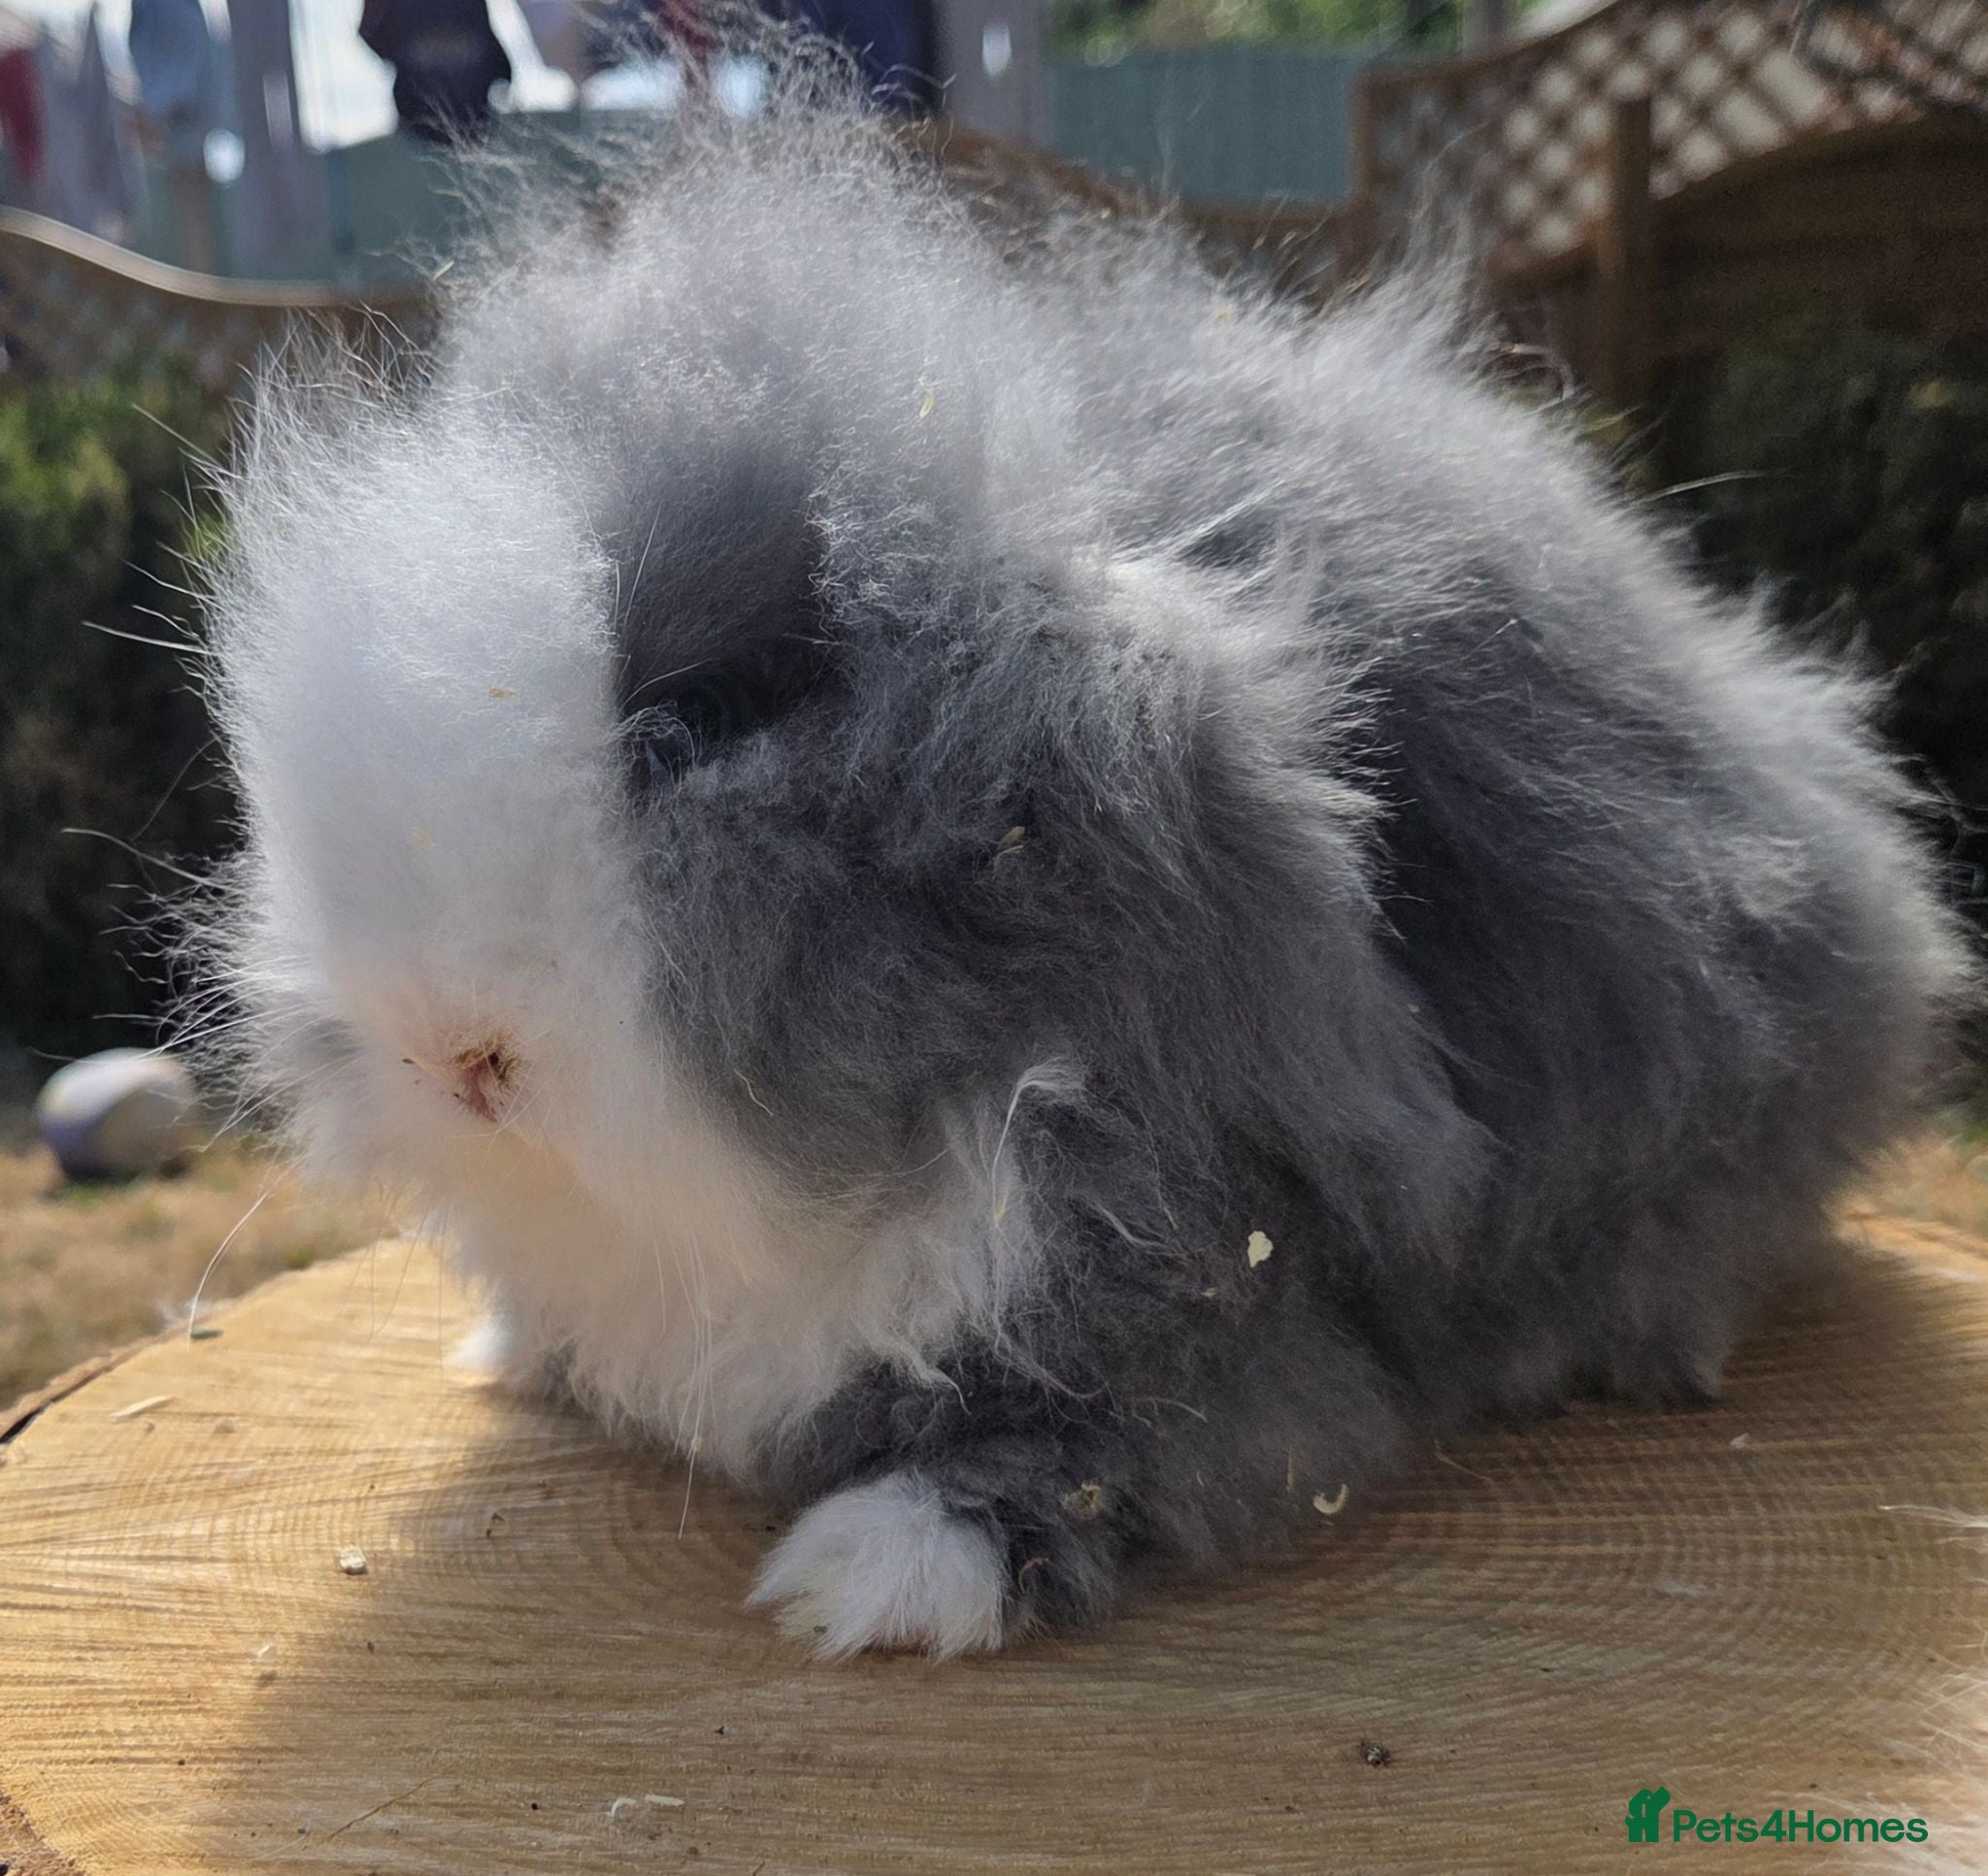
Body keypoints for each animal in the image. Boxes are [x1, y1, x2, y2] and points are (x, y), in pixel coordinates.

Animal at [187, 45, 1966, 1658]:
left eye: (683, 730)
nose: (449, 1051)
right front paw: (512, 1356)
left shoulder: (1215, 1276)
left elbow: (1147, 1436)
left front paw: (868, 1582)